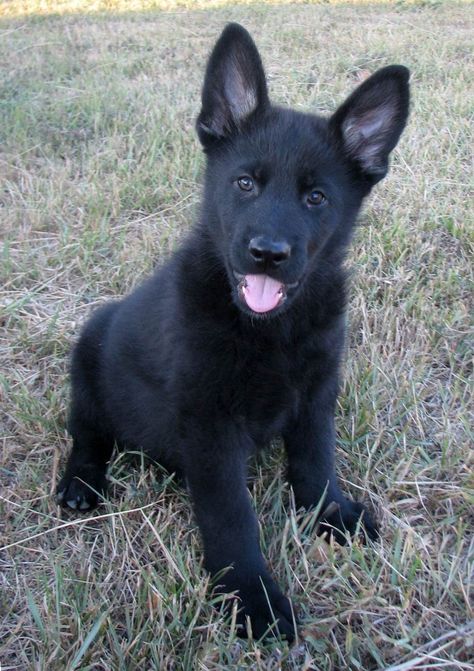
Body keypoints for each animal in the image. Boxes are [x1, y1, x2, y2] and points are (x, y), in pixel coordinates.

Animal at [57, 25, 410, 644]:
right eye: (245, 183)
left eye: (316, 197)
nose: (268, 253)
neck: (270, 330)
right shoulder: (210, 428)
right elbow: (231, 518)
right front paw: (253, 598)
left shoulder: (315, 396)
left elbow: (317, 462)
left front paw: (332, 514)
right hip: (89, 368)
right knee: (88, 434)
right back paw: (81, 484)